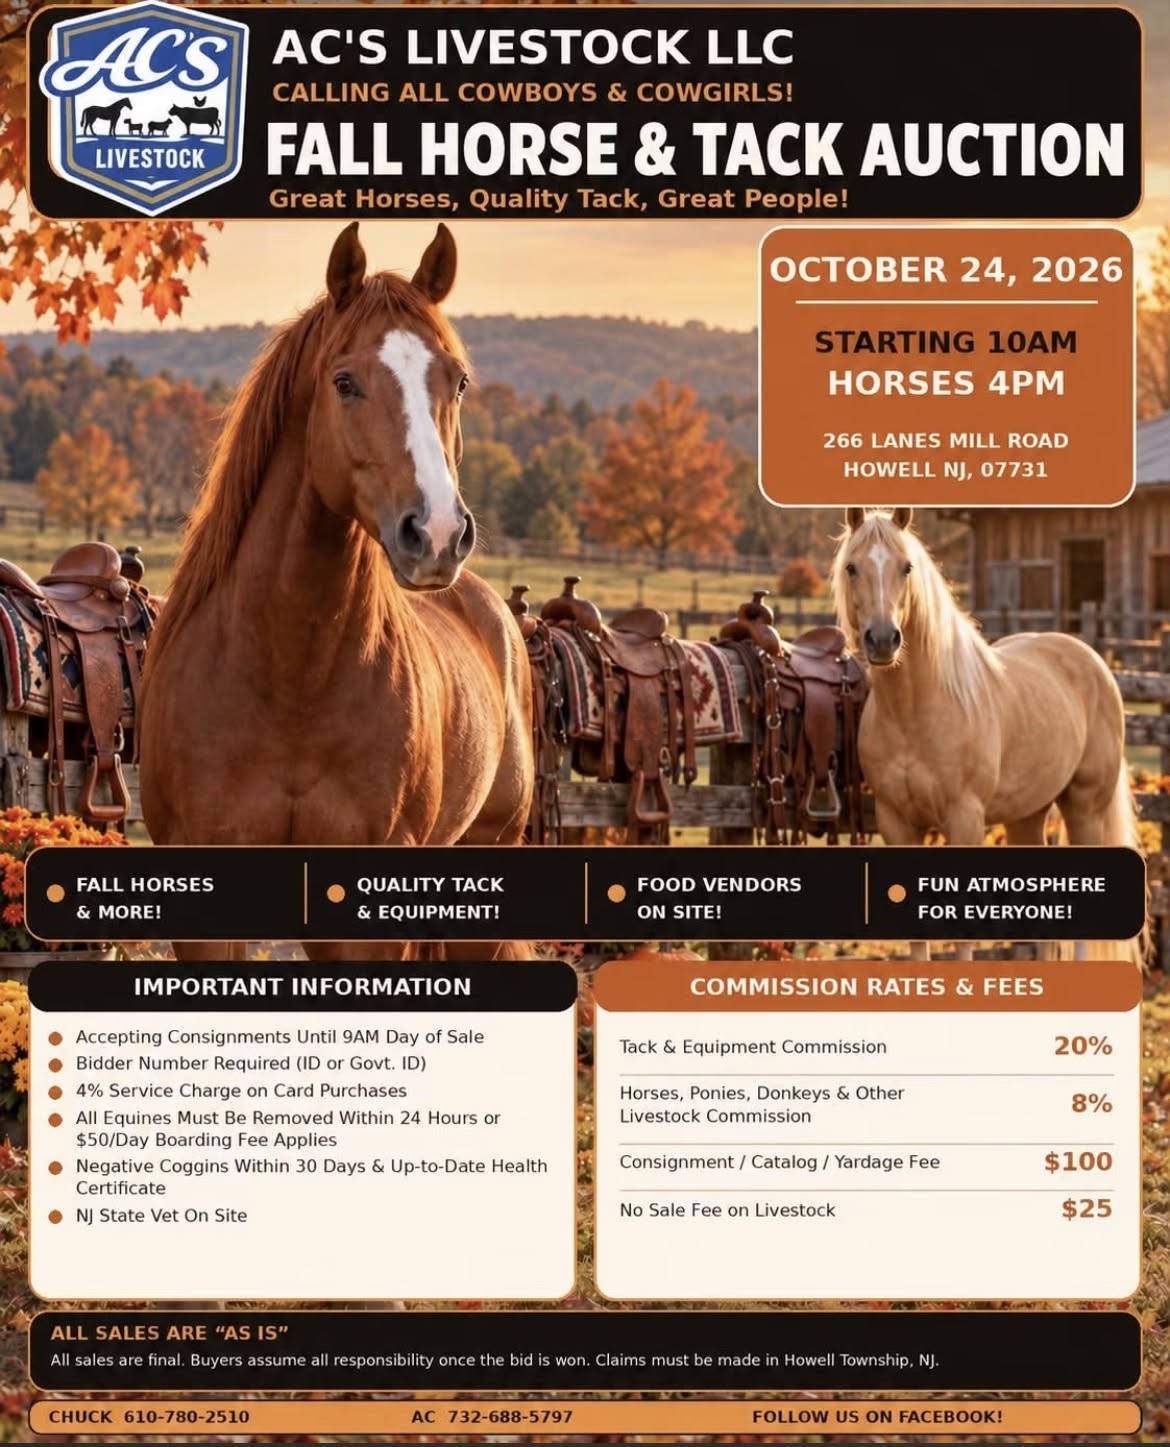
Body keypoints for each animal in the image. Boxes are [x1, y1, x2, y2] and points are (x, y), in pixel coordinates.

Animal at [832, 507, 1145, 962]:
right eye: (852, 567)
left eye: (906, 567)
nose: (883, 639)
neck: (916, 712)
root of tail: (1092, 660)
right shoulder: (897, 822)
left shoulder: (965, 820)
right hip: (1028, 815)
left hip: (1086, 805)